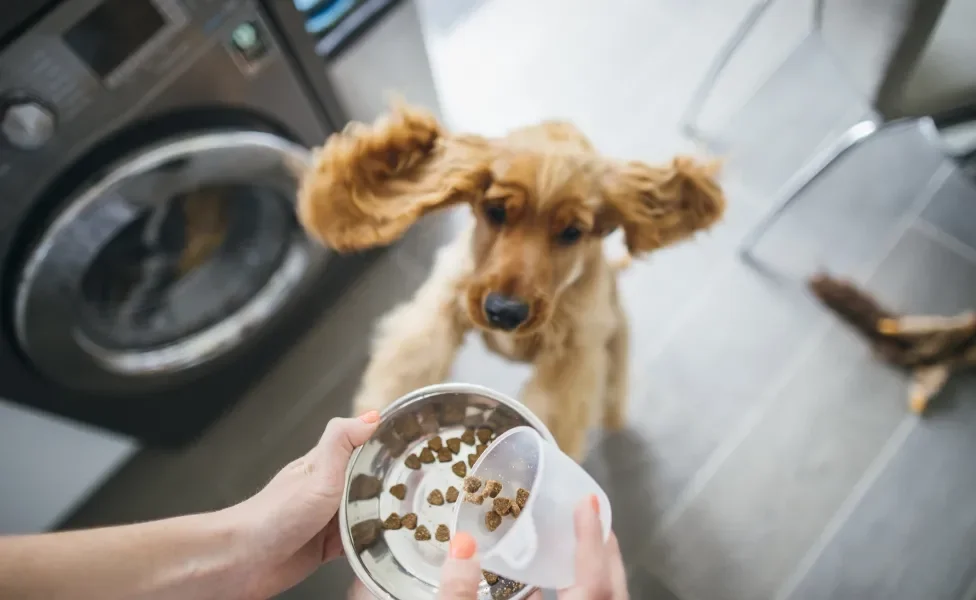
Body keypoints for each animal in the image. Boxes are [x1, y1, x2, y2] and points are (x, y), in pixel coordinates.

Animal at [298, 103, 724, 460]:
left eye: (572, 232)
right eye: (495, 211)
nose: (504, 312)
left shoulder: (572, 357)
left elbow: (553, 413)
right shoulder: (443, 302)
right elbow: (410, 362)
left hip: (614, 333)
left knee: (615, 377)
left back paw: (615, 415)